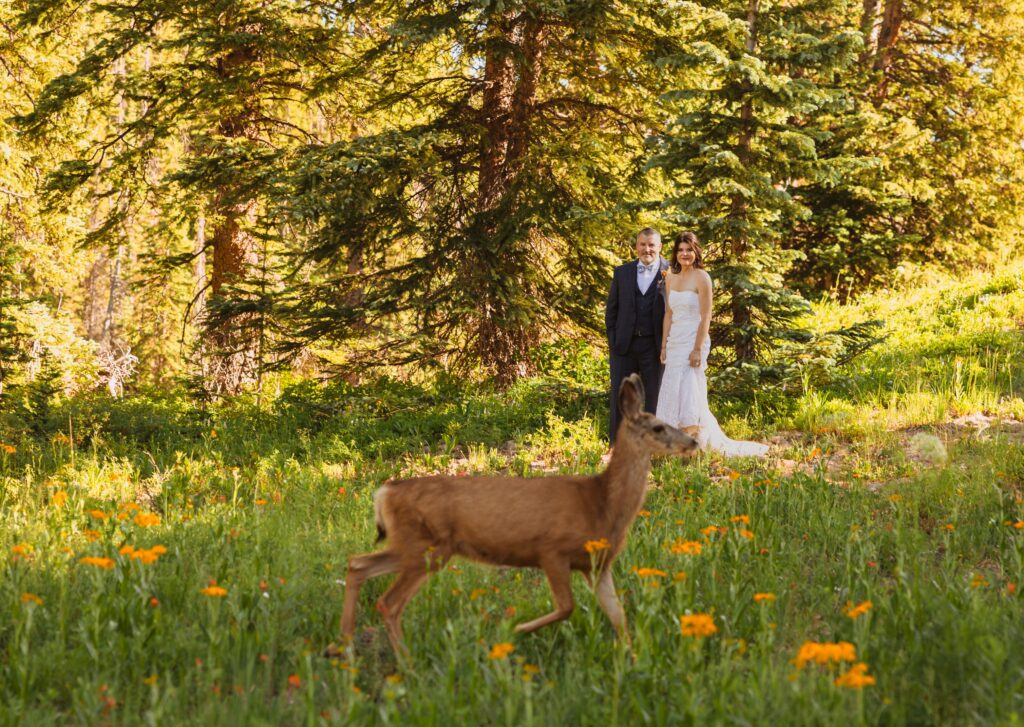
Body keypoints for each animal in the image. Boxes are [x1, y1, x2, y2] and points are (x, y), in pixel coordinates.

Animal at [326, 374, 699, 657]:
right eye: (659, 428)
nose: (693, 442)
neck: (601, 504)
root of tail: (385, 492)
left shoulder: (598, 565)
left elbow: (619, 618)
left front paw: (633, 660)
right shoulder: (551, 549)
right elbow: (567, 607)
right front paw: (516, 627)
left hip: (414, 545)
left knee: (357, 564)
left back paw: (343, 646)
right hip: (426, 547)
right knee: (388, 602)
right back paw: (405, 663)